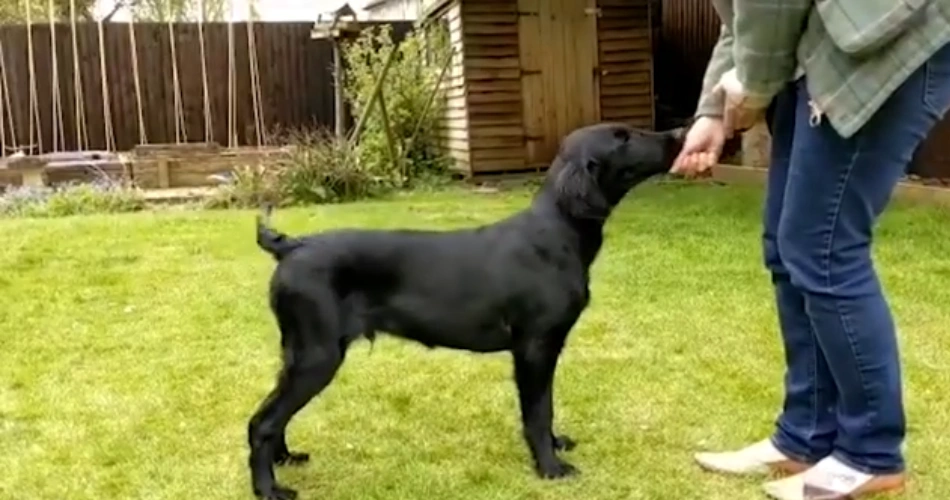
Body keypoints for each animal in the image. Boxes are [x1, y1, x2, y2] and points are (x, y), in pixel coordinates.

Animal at [245, 122, 684, 500]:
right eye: (622, 137)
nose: (680, 133)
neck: (558, 233)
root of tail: (292, 246)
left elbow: (547, 408)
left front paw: (557, 446)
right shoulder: (534, 347)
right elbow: (537, 412)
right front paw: (550, 466)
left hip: (299, 352)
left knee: (273, 415)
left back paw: (285, 460)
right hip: (318, 356)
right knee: (262, 422)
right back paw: (269, 489)